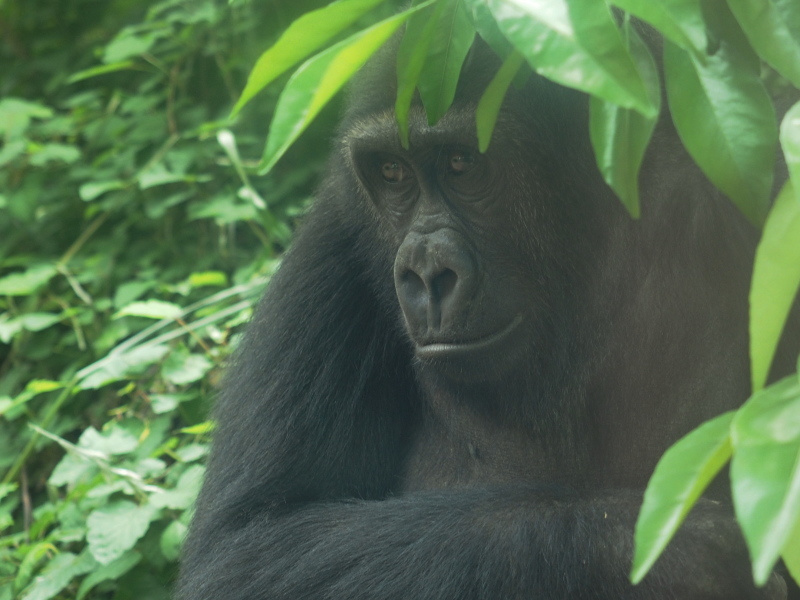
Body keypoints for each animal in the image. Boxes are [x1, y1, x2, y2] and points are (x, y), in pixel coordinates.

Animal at [178, 36, 796, 600]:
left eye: (461, 163)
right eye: (392, 171)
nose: (427, 271)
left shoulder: (761, 185)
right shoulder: (330, 235)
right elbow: (244, 549)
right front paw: (663, 551)